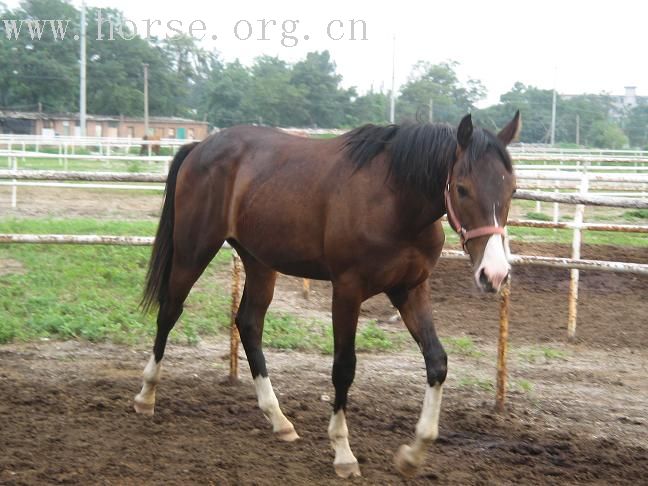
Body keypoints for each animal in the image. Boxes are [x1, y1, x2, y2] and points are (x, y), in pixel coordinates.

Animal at [134, 111, 520, 478]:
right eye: (462, 188)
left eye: (513, 189)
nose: (494, 274)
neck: (394, 200)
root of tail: (200, 147)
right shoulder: (347, 290)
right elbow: (344, 367)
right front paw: (343, 453)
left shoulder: (410, 289)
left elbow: (437, 361)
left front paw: (413, 453)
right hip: (193, 250)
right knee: (170, 311)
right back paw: (146, 395)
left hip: (259, 262)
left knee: (249, 324)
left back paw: (279, 420)